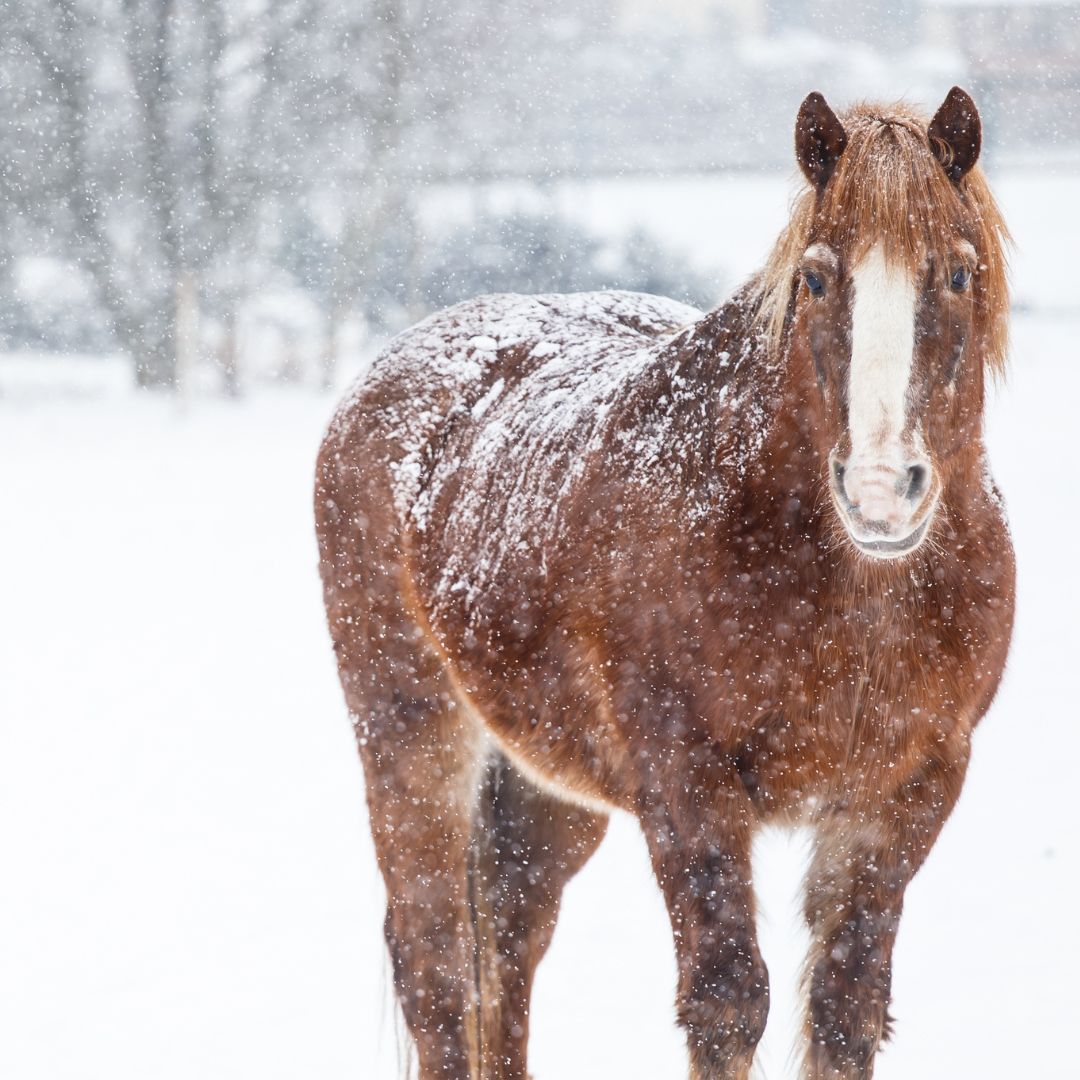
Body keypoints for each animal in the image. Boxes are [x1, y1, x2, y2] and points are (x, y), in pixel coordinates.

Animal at [314, 87, 1015, 1080]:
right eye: (815, 280)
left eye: (955, 273)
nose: (882, 489)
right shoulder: (686, 784)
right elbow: (728, 1001)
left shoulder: (908, 790)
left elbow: (846, 1006)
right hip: (411, 740)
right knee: (438, 967)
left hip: (548, 789)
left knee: (510, 938)